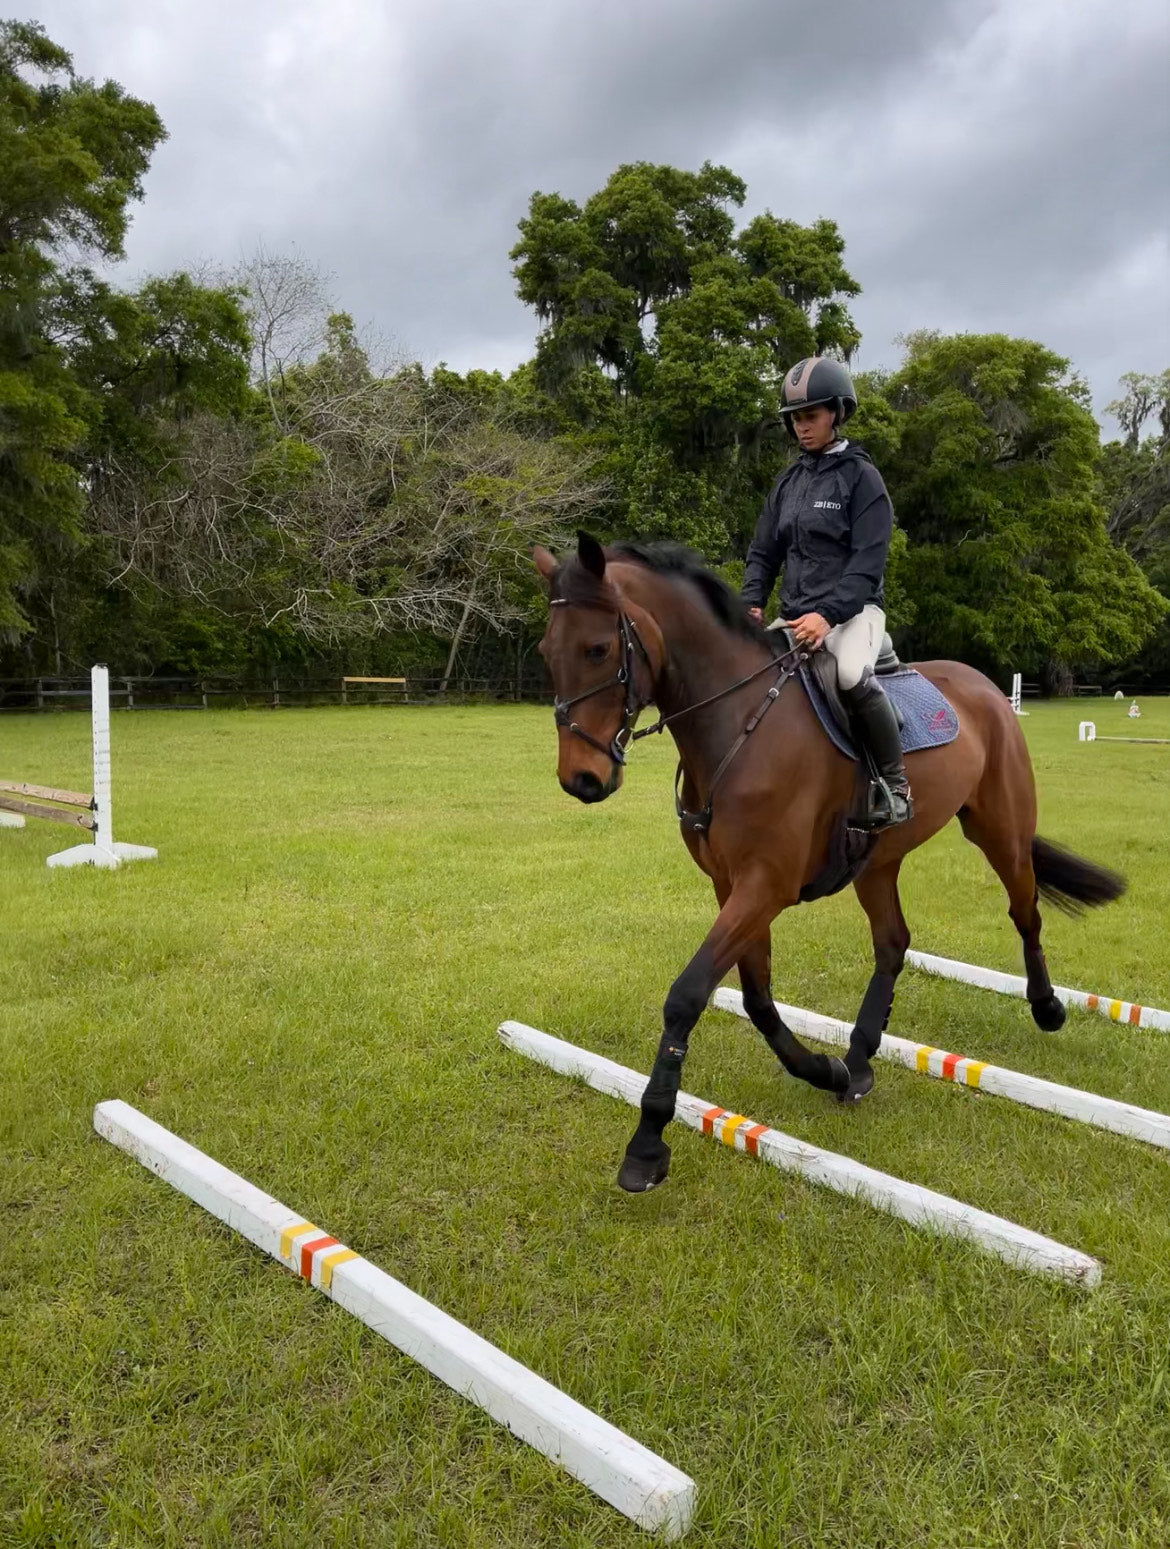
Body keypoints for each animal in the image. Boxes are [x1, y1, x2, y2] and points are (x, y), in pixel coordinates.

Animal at [536, 535, 1128, 1195]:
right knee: (894, 943)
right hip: (877, 862)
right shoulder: (732, 886)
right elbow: (757, 998)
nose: (581, 780)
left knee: (1024, 912)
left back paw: (1047, 1008)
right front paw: (824, 1070)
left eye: (598, 649)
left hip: (1000, 831)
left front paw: (646, 1142)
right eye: (546, 652)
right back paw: (860, 1059)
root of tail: (982, 686)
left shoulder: (765, 885)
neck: (738, 722)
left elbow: (688, 994)